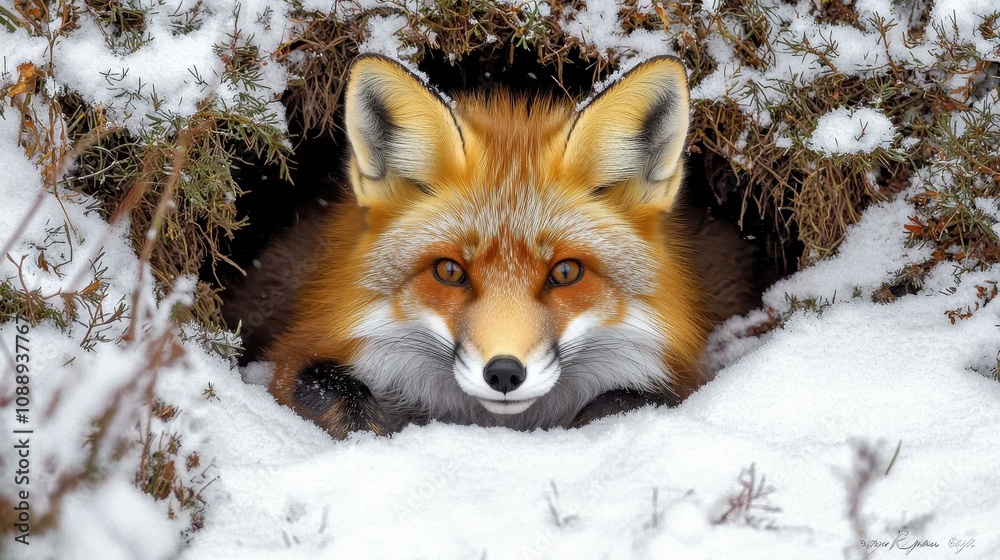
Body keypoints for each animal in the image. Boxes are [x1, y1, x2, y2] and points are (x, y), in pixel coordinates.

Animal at [226, 54, 760, 439]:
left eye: (565, 272)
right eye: (449, 271)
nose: (503, 373)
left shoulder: (675, 375)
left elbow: (628, 402)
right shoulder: (297, 356)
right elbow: (340, 399)